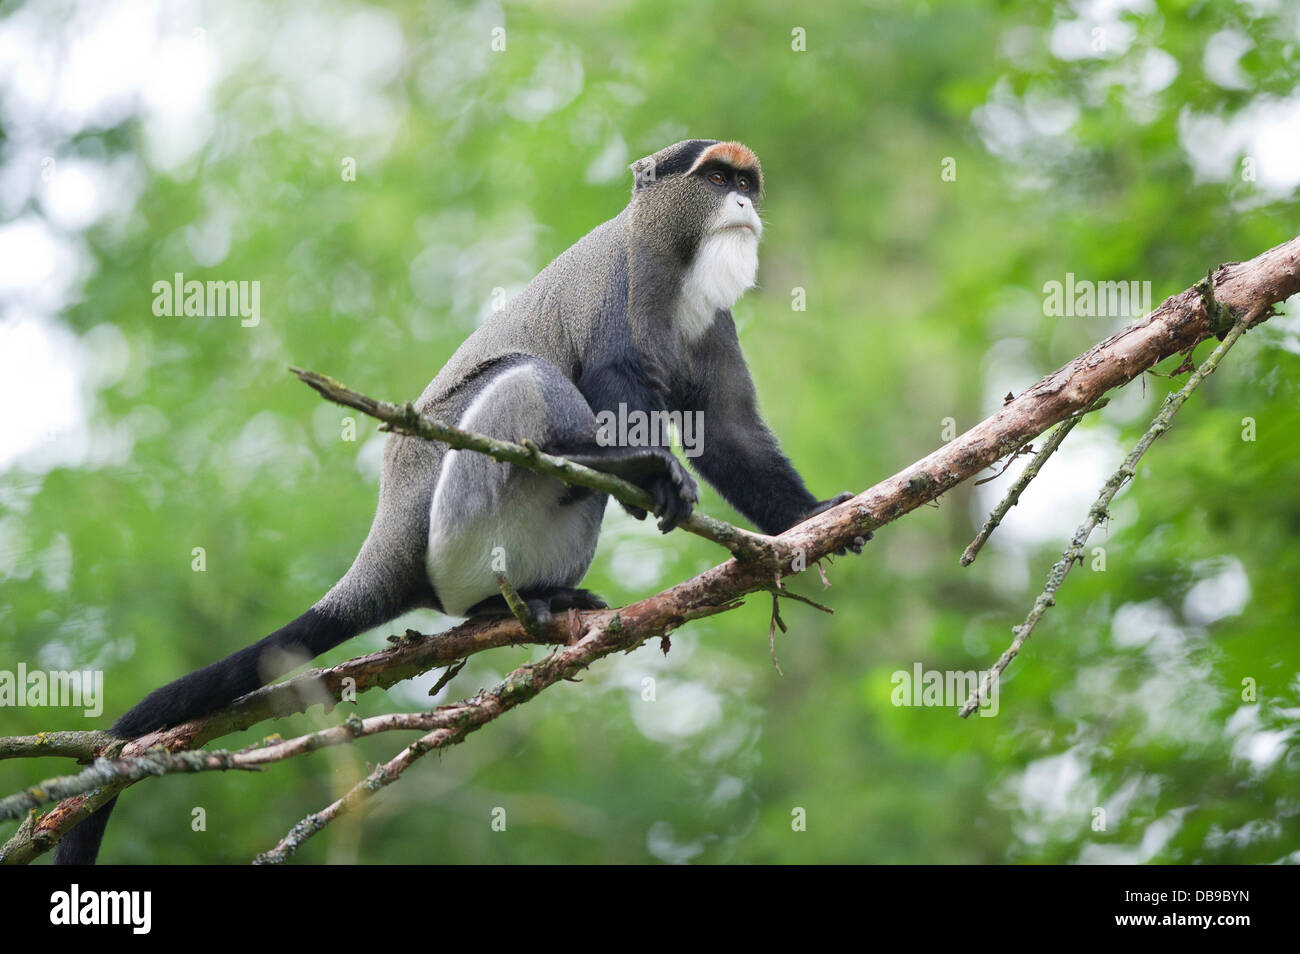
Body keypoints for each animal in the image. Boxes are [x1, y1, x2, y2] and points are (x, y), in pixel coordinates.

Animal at [58, 141, 852, 868]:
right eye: (715, 179)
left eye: (747, 181)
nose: (743, 203)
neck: (674, 258)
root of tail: (388, 550)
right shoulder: (620, 287)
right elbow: (611, 382)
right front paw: (651, 468)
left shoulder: (713, 328)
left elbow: (729, 430)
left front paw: (811, 517)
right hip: (454, 522)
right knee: (524, 376)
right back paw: (591, 489)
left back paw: (530, 597)